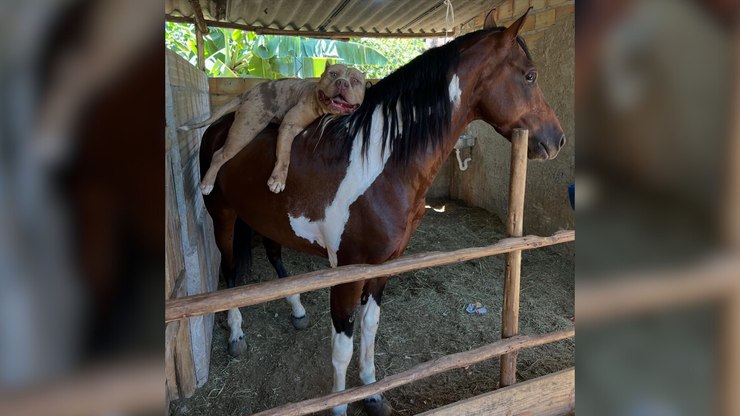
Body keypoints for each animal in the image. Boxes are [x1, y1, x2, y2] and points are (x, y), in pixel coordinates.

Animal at [200, 9, 565, 416]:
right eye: (530, 76)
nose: (557, 140)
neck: (378, 162)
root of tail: (221, 125)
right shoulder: (347, 271)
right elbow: (342, 346)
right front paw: (340, 406)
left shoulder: (383, 265)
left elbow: (371, 328)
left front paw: (372, 393)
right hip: (223, 216)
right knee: (231, 272)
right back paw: (236, 334)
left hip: (267, 220)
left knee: (274, 257)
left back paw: (295, 310)